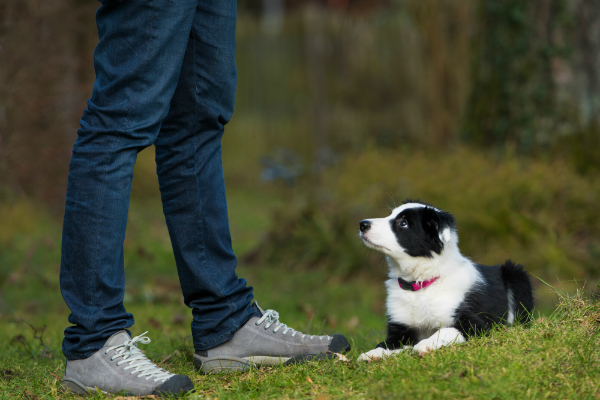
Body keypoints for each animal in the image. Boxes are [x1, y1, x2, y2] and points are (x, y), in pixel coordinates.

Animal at [356, 202, 536, 360]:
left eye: (404, 223)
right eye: (390, 214)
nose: (362, 224)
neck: (420, 284)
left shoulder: (475, 324)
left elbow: (445, 330)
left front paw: (426, 344)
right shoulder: (400, 328)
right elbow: (387, 343)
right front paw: (372, 354)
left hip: (516, 274)